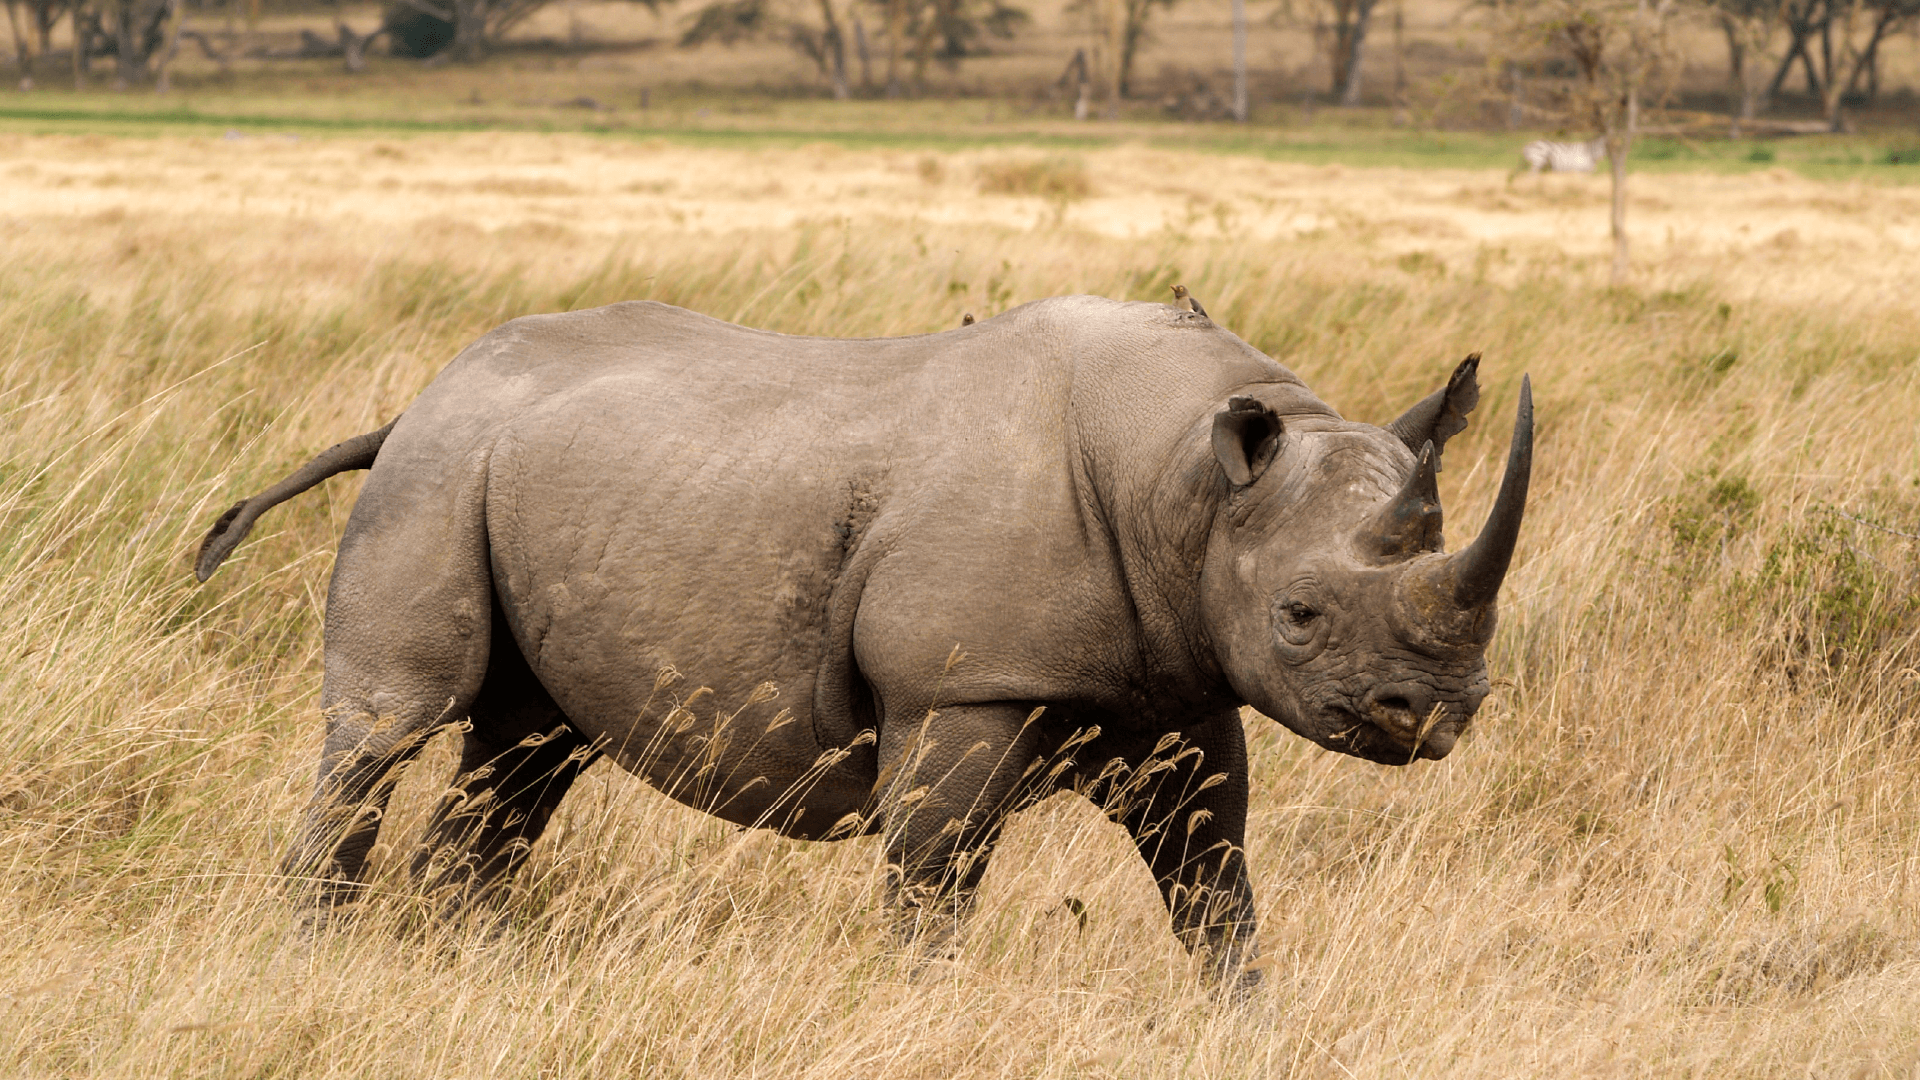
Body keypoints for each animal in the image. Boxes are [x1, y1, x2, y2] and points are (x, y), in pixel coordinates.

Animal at [196, 294, 1531, 988]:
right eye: (1300, 617)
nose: (1435, 715)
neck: (1188, 483)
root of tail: (416, 400)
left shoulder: (1182, 682)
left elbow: (1213, 876)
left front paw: (1241, 1016)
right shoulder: (962, 691)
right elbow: (934, 879)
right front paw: (927, 1008)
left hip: (513, 472)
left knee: (527, 753)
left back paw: (456, 966)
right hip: (433, 476)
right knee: (389, 730)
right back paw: (316, 959)